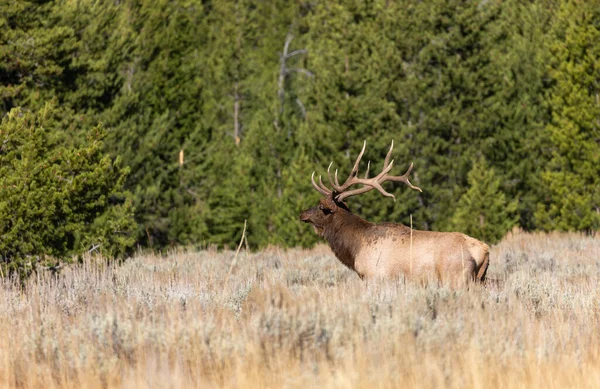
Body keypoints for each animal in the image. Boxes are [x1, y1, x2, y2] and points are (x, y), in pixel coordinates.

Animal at [298, 141, 490, 284]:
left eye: (321, 207)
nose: (302, 214)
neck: (354, 248)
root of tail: (484, 250)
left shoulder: (374, 277)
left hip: (455, 277)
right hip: (480, 280)